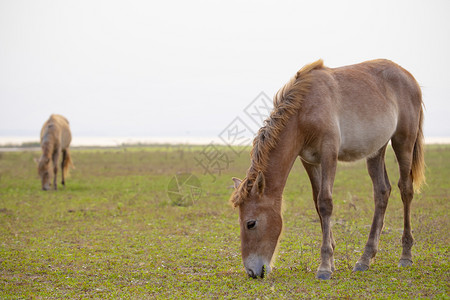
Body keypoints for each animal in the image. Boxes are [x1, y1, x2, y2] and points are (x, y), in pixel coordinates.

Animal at [230, 59, 424, 280]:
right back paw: (365, 259)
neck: (303, 110)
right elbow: (317, 203)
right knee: (382, 192)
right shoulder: (309, 161)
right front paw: (330, 261)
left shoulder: (328, 154)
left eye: (251, 223)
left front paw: (324, 267)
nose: (251, 272)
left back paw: (406, 256)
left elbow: (325, 203)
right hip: (376, 150)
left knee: (405, 190)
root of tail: (408, 76)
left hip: (403, 142)